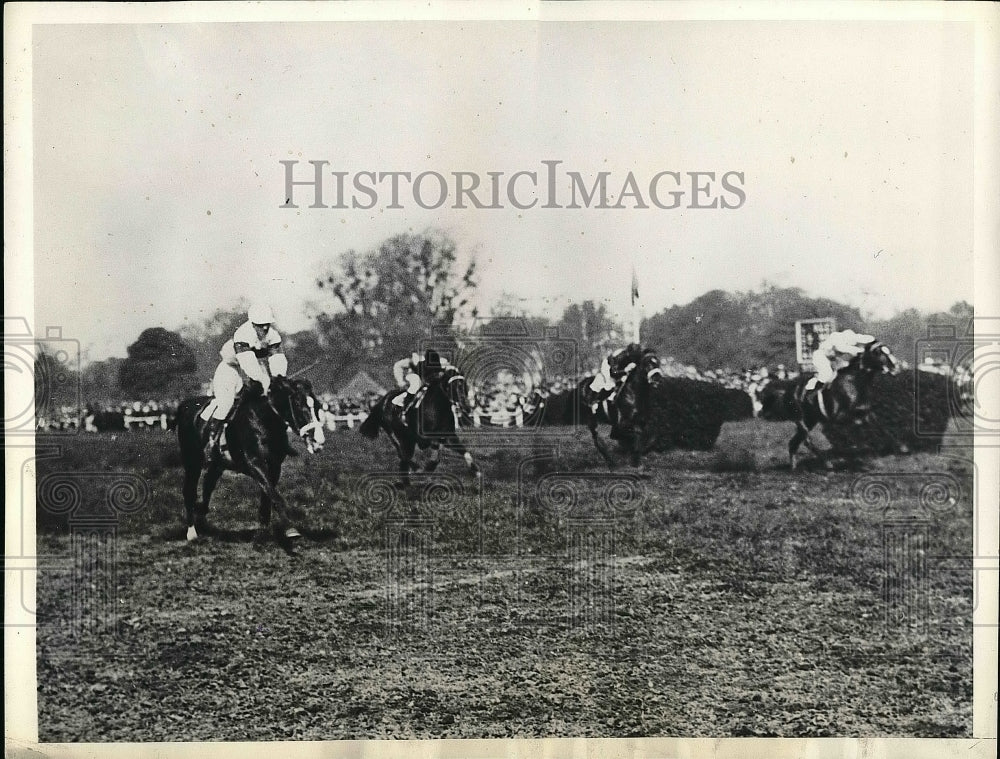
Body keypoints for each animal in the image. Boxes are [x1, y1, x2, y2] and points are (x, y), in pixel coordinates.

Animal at [175, 376, 324, 544]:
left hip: (216, 465)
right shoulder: (255, 463)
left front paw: (263, 529)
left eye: (317, 405)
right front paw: (290, 529)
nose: (318, 440)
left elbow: (268, 495)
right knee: (189, 491)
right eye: (298, 404)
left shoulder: (274, 466)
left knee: (208, 486)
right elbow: (274, 495)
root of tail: (185, 405)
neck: (262, 418)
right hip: (192, 462)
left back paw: (202, 520)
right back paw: (192, 532)